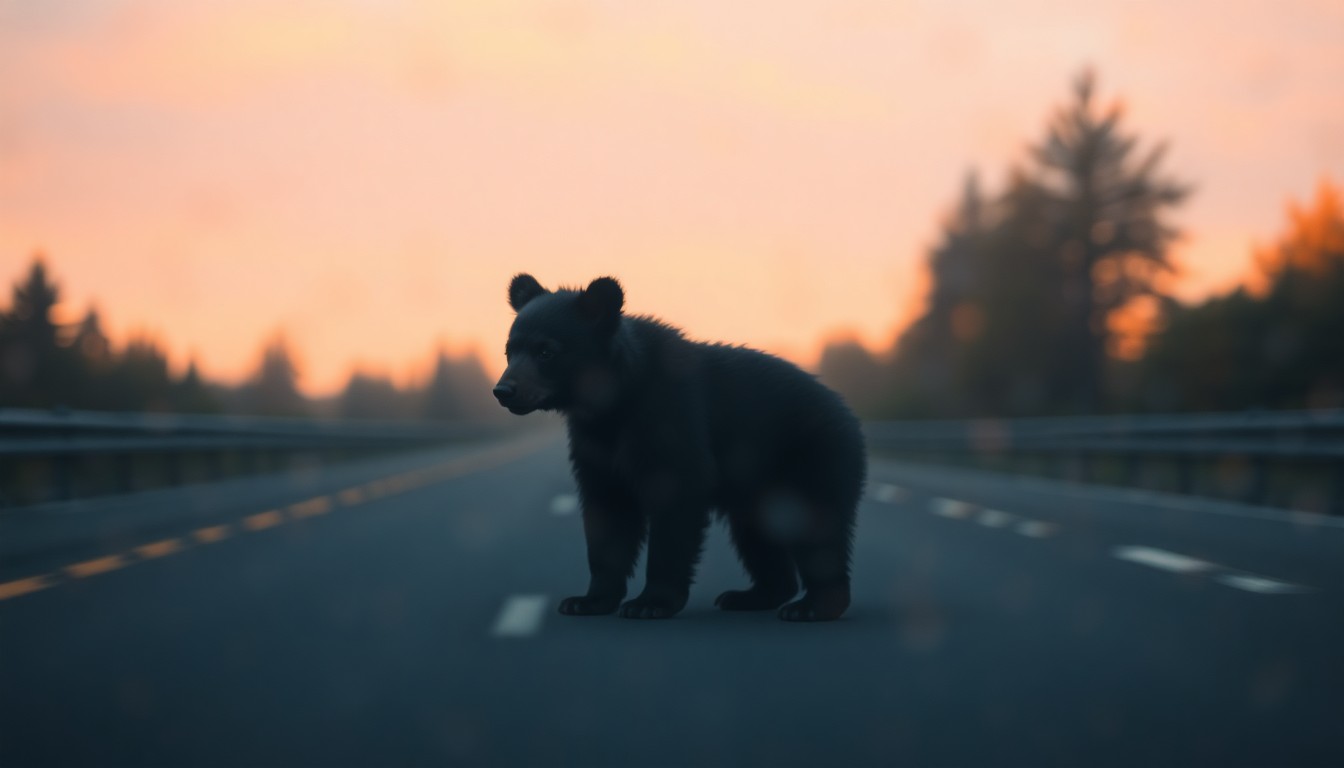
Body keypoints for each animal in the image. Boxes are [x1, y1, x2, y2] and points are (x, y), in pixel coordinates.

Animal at [492, 274, 866, 621]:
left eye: (546, 351)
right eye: (510, 350)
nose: (503, 390)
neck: (613, 402)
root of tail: (847, 413)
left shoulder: (672, 416)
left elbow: (676, 502)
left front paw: (649, 603)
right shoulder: (594, 444)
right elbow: (607, 515)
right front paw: (587, 601)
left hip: (813, 455)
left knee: (819, 530)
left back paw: (812, 606)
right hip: (755, 487)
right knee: (758, 536)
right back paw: (749, 596)